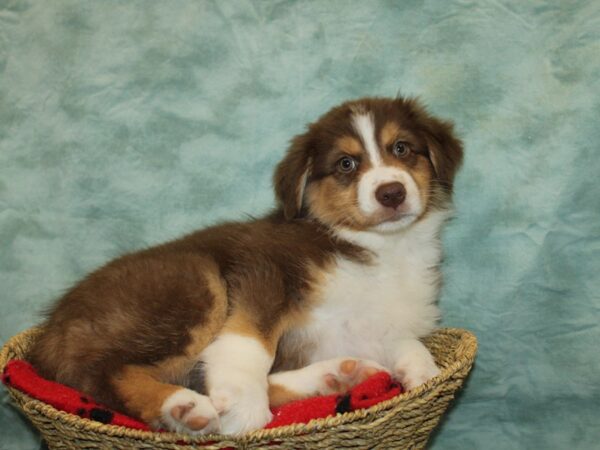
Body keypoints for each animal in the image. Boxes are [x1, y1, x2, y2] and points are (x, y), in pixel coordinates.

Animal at [30, 96, 464, 434]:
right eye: (346, 164)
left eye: (402, 148)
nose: (391, 193)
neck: (379, 247)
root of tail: (49, 333)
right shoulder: (262, 271)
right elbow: (252, 343)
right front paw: (242, 407)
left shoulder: (380, 320)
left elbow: (403, 339)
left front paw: (422, 371)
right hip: (194, 280)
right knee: (100, 373)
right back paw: (182, 408)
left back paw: (337, 377)